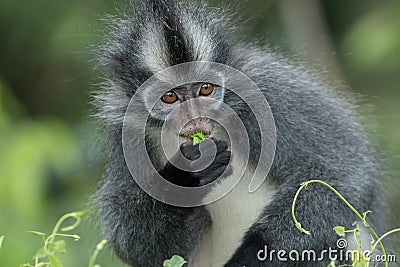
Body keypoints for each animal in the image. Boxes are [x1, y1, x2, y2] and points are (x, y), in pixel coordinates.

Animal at [92, 0, 386, 267]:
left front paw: (250, 258)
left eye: (206, 89)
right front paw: (189, 174)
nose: (194, 118)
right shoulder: (128, 129)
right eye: (170, 97)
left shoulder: (265, 90)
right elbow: (134, 245)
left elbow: (342, 172)